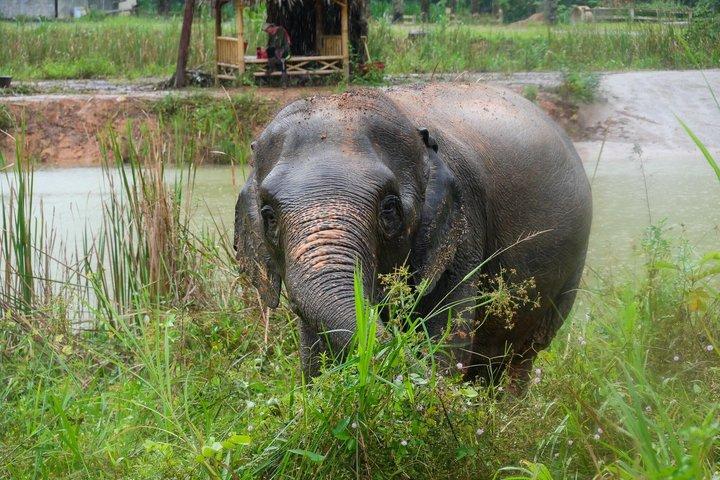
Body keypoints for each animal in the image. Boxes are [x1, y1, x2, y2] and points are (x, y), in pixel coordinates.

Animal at [234, 83, 592, 387]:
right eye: (268, 215)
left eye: (389, 208)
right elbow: (314, 354)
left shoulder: (464, 231)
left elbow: (444, 340)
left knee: (523, 355)